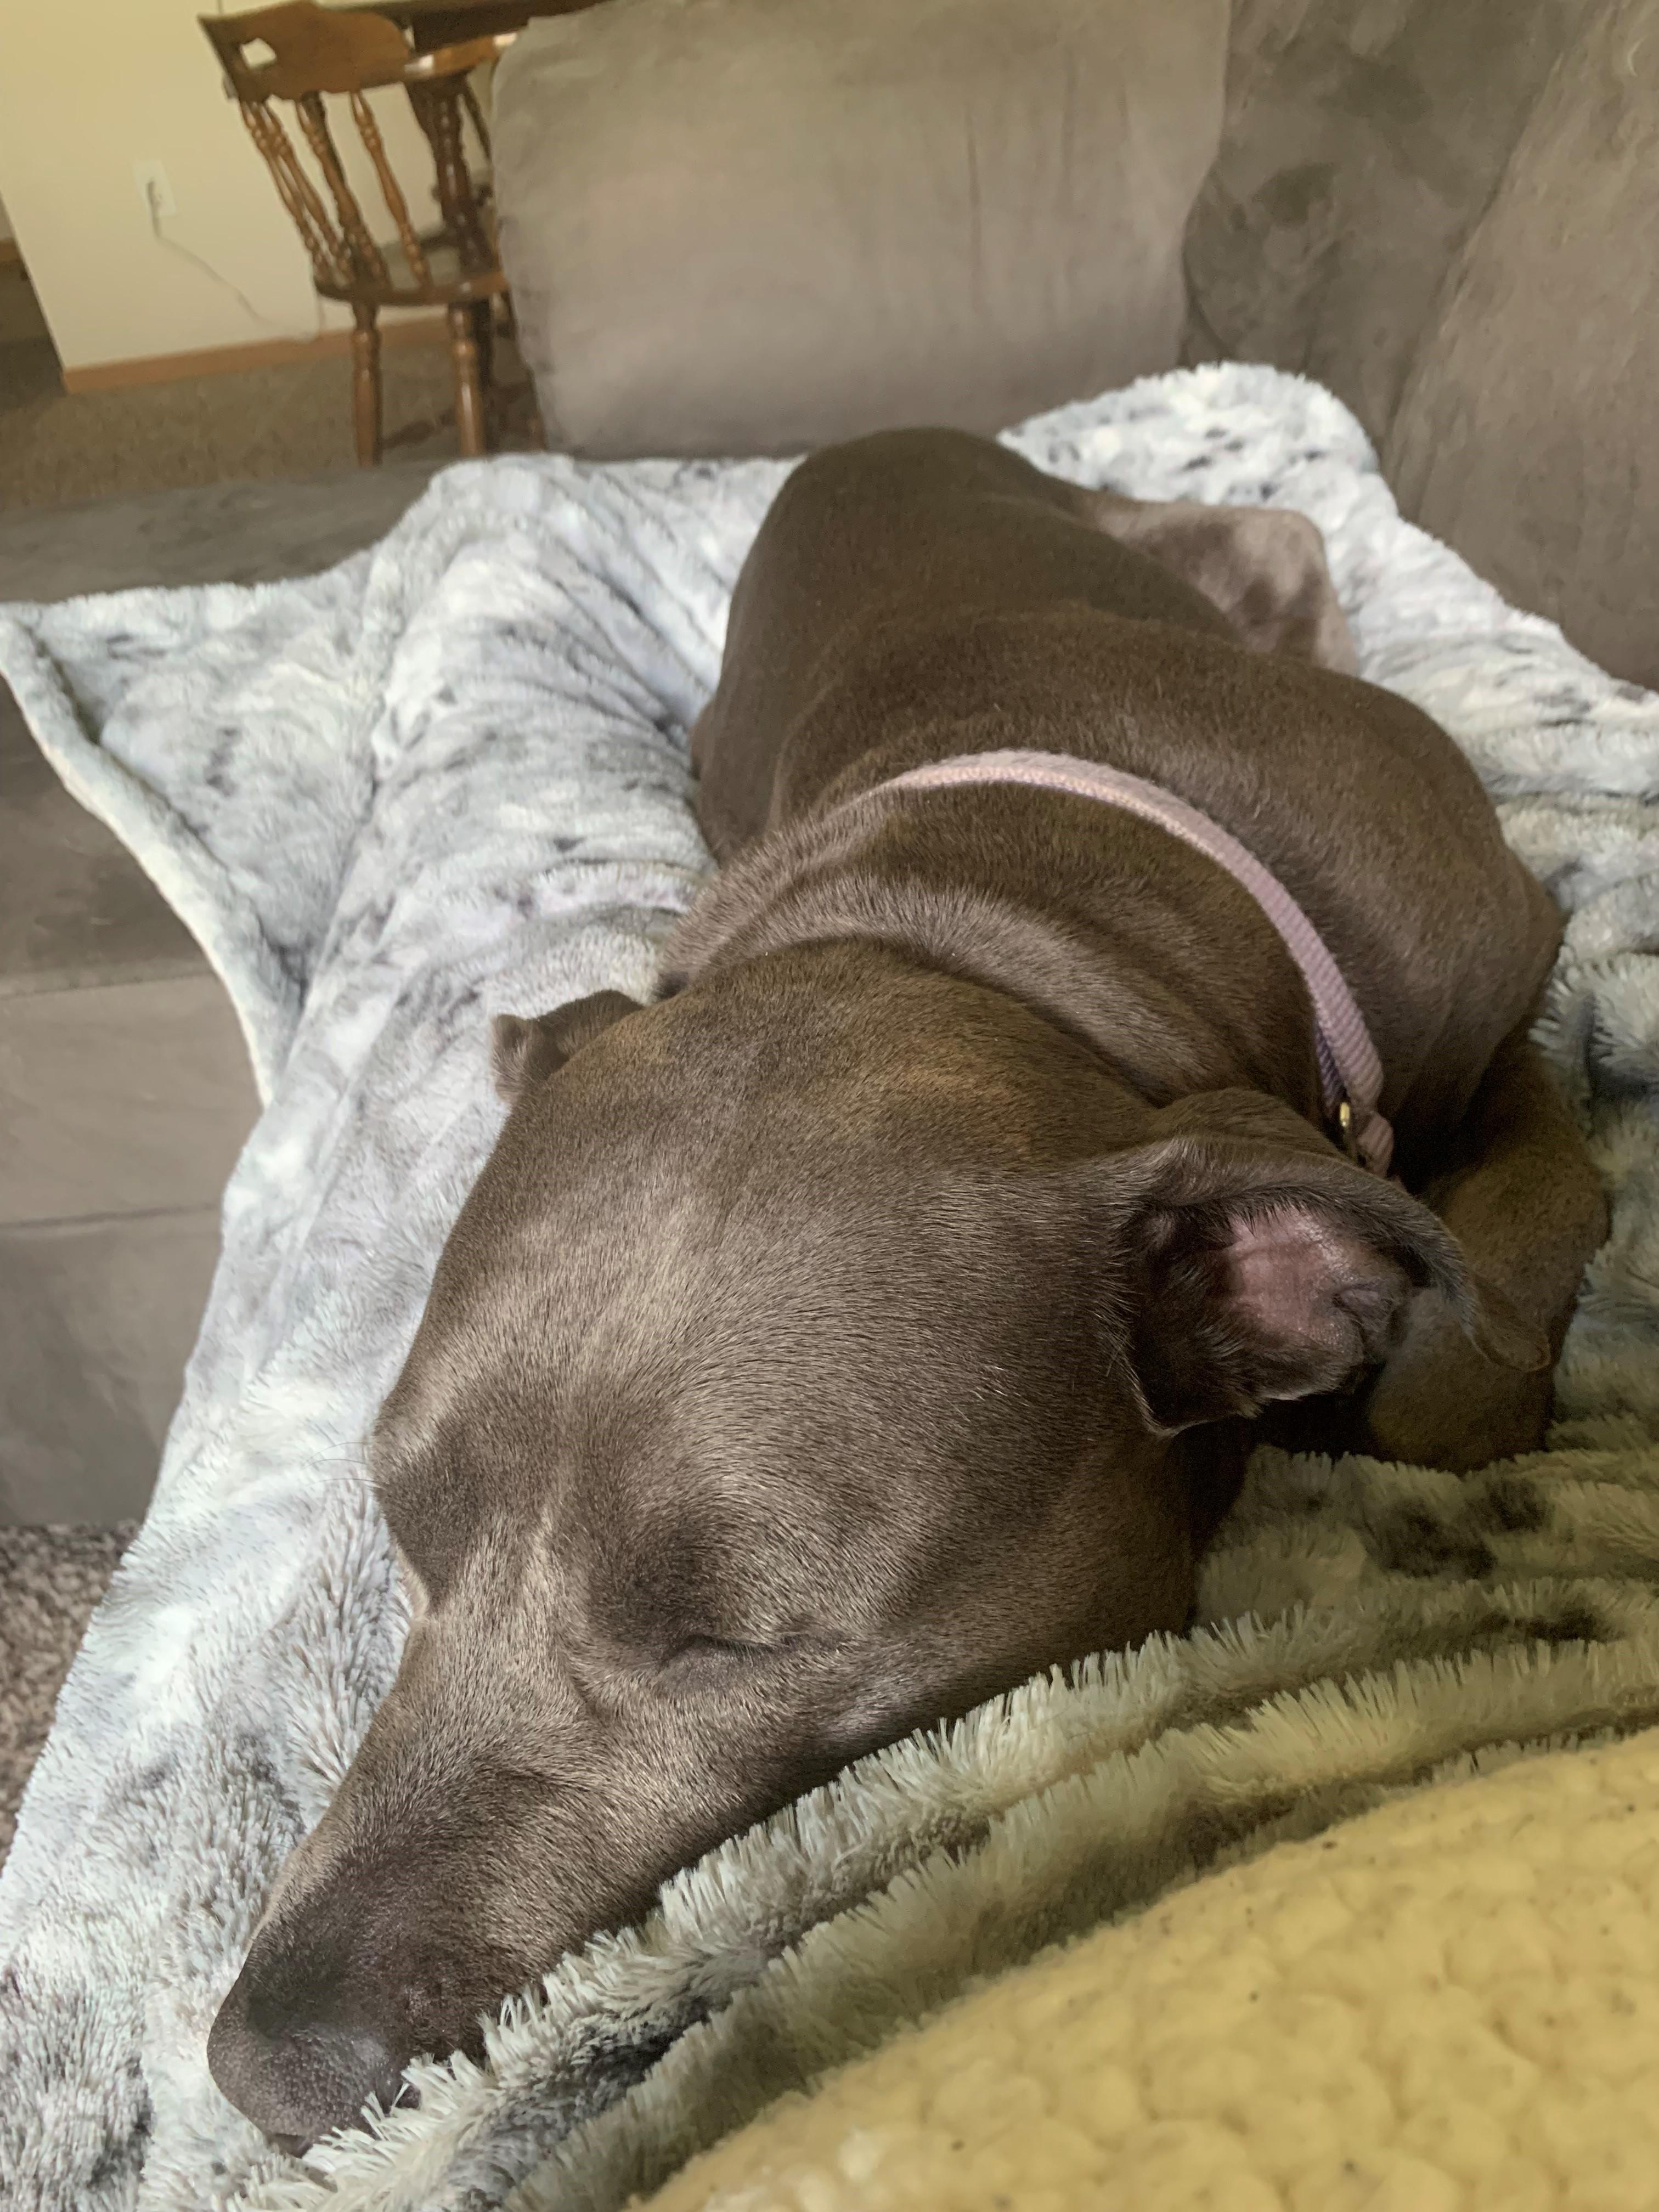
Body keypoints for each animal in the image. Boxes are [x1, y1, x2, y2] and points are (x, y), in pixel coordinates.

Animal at [208, 427, 1610, 2141]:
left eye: (730, 1635)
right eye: (403, 1526)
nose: (262, 2067)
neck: (1021, 919)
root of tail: (865, 441)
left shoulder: (1508, 979)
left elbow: (1511, 1258)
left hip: (1244, 541)